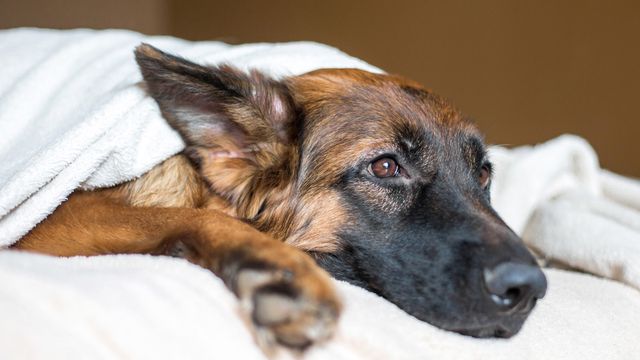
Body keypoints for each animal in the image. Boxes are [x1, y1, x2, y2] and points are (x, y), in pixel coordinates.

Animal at [13, 43, 544, 350]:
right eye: (385, 167)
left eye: (484, 174)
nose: (529, 289)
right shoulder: (54, 220)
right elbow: (191, 218)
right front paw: (277, 271)